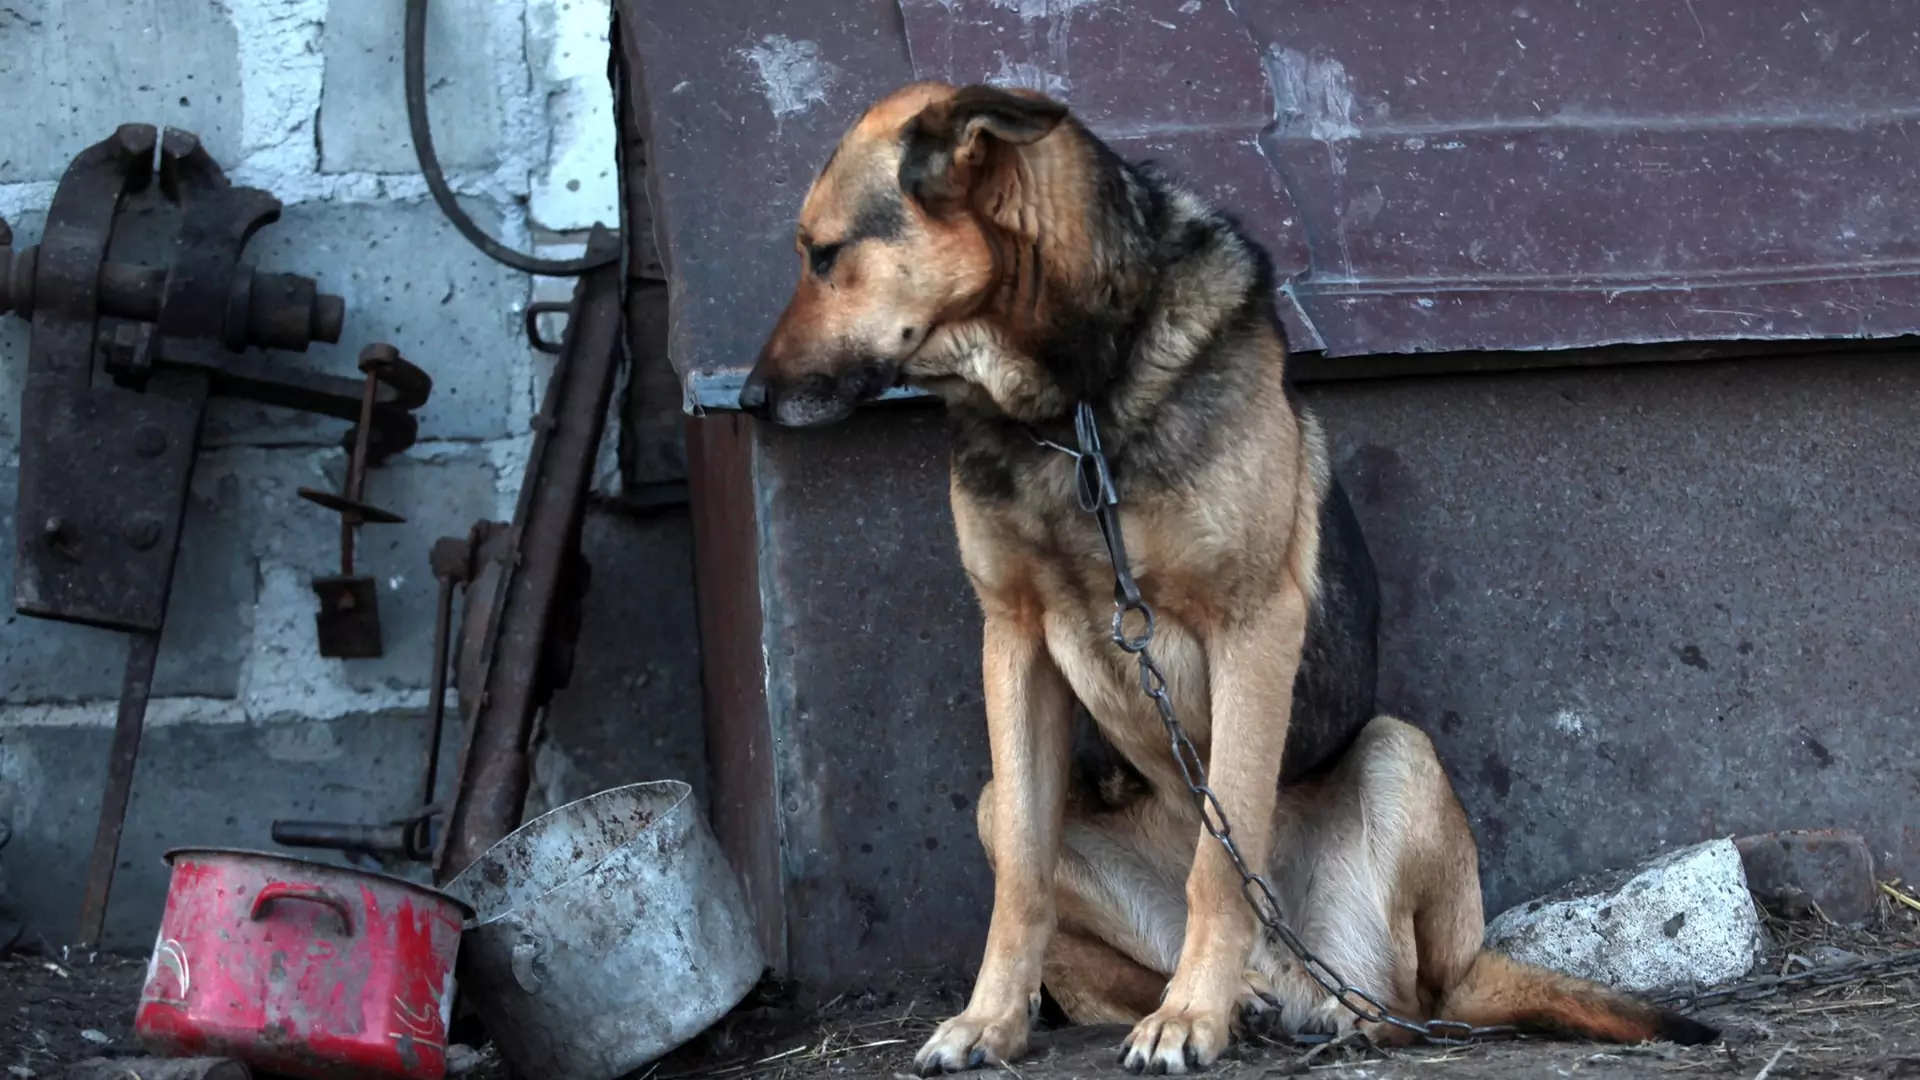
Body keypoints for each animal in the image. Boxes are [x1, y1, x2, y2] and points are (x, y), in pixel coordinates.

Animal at [741, 84, 1720, 1068]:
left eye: (824, 255)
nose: (747, 402)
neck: (1073, 406)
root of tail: (1304, 970)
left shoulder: (1253, 626)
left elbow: (1224, 850)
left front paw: (1192, 1016)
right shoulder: (1012, 637)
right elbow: (1021, 877)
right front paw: (991, 1019)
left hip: (1399, 758)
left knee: (1403, 990)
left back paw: (1303, 1007)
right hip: (1006, 812)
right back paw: (1239, 997)